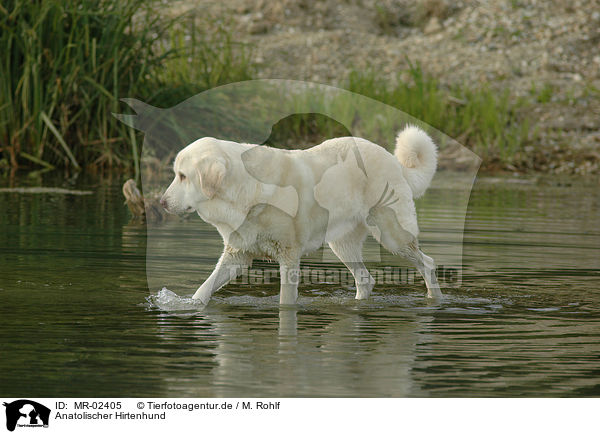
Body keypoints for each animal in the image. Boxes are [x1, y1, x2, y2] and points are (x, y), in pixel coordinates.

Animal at [162, 124, 442, 304]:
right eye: (176, 174)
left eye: (183, 176)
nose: (162, 203)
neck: (244, 190)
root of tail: (394, 161)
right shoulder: (237, 256)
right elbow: (203, 289)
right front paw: (190, 306)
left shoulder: (289, 258)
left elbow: (285, 304)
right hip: (342, 244)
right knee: (365, 280)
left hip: (393, 237)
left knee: (427, 263)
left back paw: (435, 300)